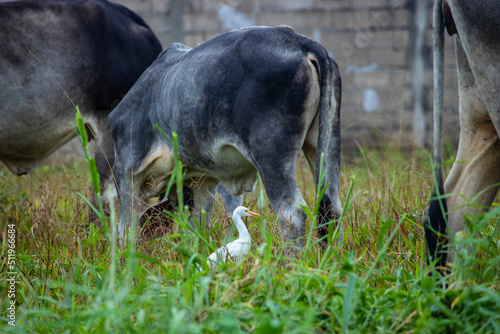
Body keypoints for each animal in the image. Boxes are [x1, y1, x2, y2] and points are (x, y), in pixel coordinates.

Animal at [109, 25, 344, 245]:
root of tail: (297, 40)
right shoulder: (202, 181)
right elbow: (197, 228)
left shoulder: (126, 170)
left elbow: (126, 229)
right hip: (325, 145)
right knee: (333, 208)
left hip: (272, 157)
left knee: (291, 213)